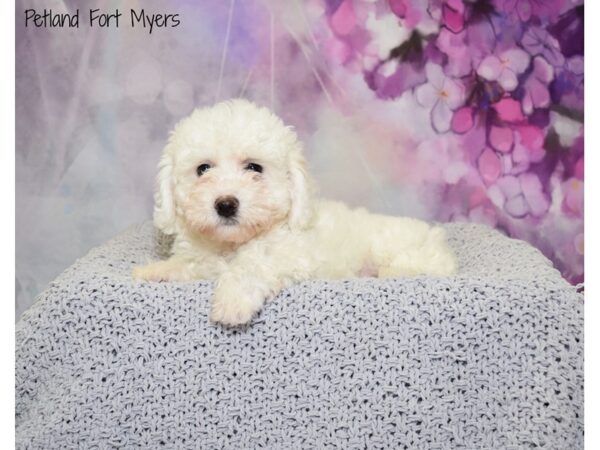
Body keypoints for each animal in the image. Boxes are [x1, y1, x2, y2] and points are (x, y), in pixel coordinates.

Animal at [134, 98, 458, 326]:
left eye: (254, 168)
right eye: (203, 169)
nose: (225, 204)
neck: (232, 245)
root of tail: (437, 240)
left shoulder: (293, 256)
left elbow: (253, 265)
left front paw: (232, 301)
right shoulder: (204, 260)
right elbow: (188, 264)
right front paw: (156, 270)